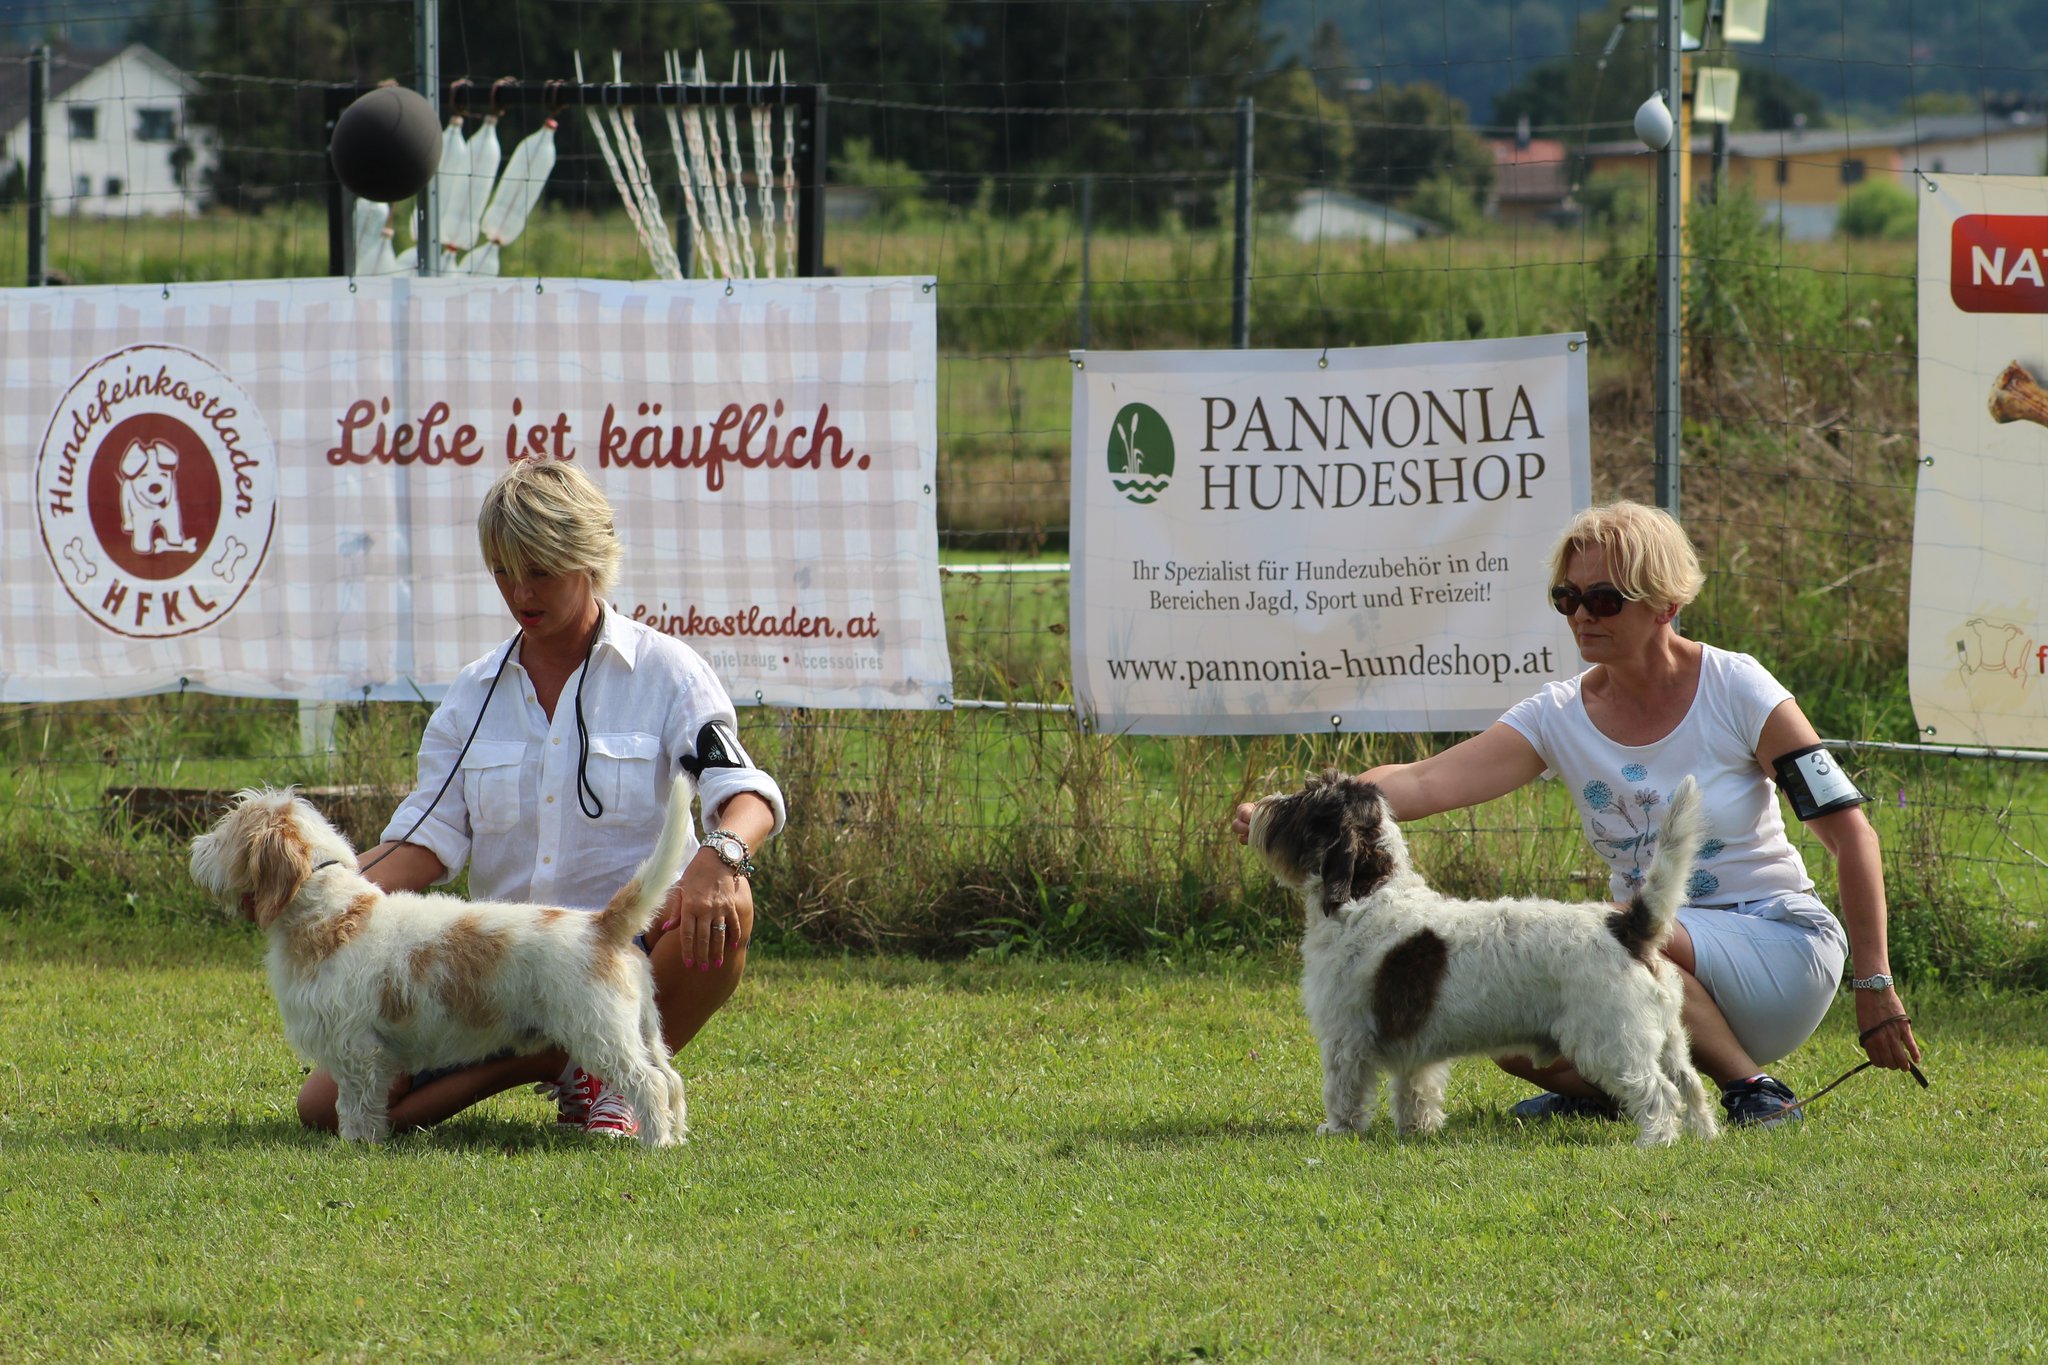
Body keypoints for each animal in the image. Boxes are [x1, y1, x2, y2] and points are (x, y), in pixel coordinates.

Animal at [190, 777, 693, 1147]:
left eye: (227, 832)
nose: (195, 847)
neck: (330, 909)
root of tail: (601, 924)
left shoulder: (355, 1049)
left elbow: (355, 1103)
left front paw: (355, 1144)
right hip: (644, 1030)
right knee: (671, 1080)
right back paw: (678, 1137)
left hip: (601, 1034)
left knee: (648, 1083)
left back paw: (656, 1144)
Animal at [1248, 771, 1718, 1147]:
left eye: (1306, 798)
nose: (1262, 805)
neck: (1368, 892)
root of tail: (1626, 926)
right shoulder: (1415, 1047)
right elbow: (1415, 1091)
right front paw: (1416, 1130)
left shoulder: (1345, 1036)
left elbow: (1342, 1090)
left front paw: (1337, 1131)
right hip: (1667, 1037)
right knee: (1691, 1084)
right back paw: (1705, 1134)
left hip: (1612, 1043)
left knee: (1660, 1093)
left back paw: (1655, 1141)